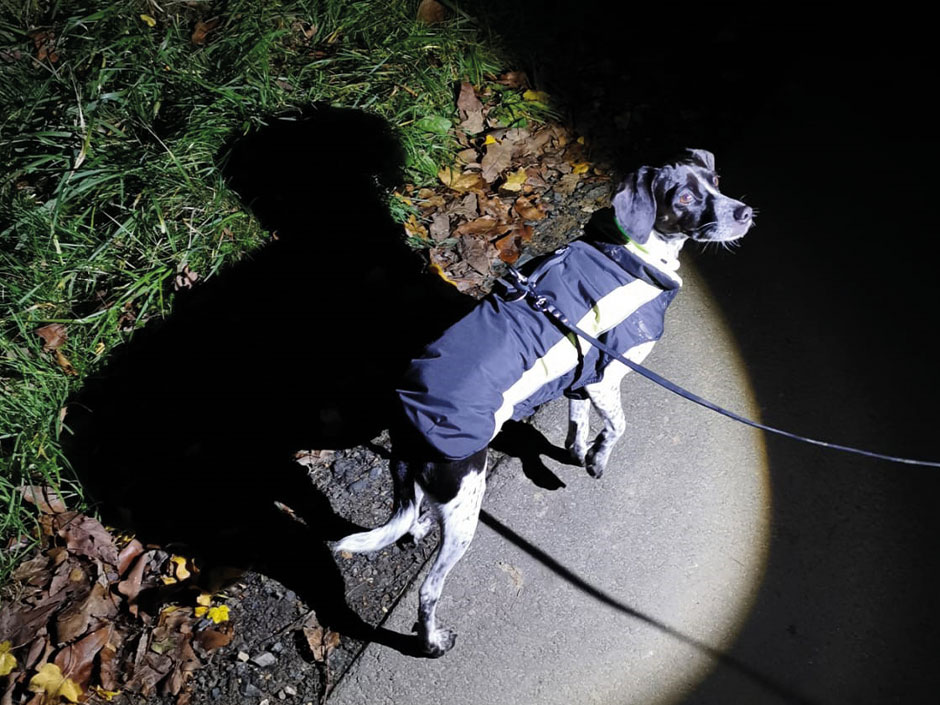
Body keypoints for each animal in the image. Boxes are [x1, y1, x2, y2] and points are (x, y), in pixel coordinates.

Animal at [336, 147, 756, 656]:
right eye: (687, 198)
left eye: (715, 180)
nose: (746, 213)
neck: (628, 253)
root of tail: (405, 423)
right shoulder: (606, 378)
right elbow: (618, 426)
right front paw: (596, 460)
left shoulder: (581, 378)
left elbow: (577, 425)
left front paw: (574, 454)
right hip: (466, 509)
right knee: (429, 589)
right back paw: (431, 641)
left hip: (437, 495)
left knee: (415, 517)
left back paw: (417, 533)